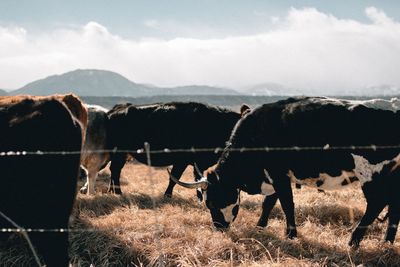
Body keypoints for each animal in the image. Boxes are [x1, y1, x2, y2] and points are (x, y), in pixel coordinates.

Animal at [106, 101, 250, 198]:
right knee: (115, 170)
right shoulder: (183, 160)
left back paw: (111, 191)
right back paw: (118, 192)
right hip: (119, 151)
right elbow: (176, 177)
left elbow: (197, 179)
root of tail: (116, 109)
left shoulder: (198, 162)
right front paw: (168, 196)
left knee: (114, 170)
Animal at [172, 97, 400, 247]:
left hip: (370, 173)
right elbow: (269, 203)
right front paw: (260, 226)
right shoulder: (273, 177)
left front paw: (291, 234)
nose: (219, 228)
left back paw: (353, 241)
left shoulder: (278, 174)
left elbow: (286, 204)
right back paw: (387, 243)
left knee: (377, 203)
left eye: (211, 202)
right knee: (394, 205)